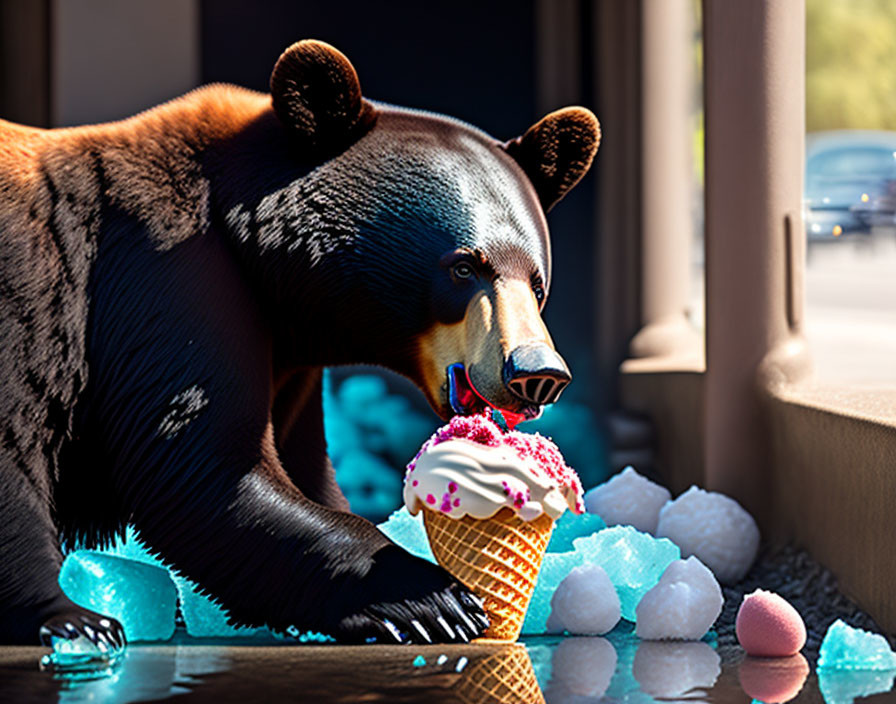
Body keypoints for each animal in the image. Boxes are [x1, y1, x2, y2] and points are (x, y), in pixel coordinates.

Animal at [0, 37, 600, 644]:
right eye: (463, 268)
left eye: (537, 282)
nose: (536, 373)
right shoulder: (160, 277)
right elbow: (203, 466)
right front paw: (435, 599)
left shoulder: (291, 360)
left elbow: (296, 465)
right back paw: (76, 620)